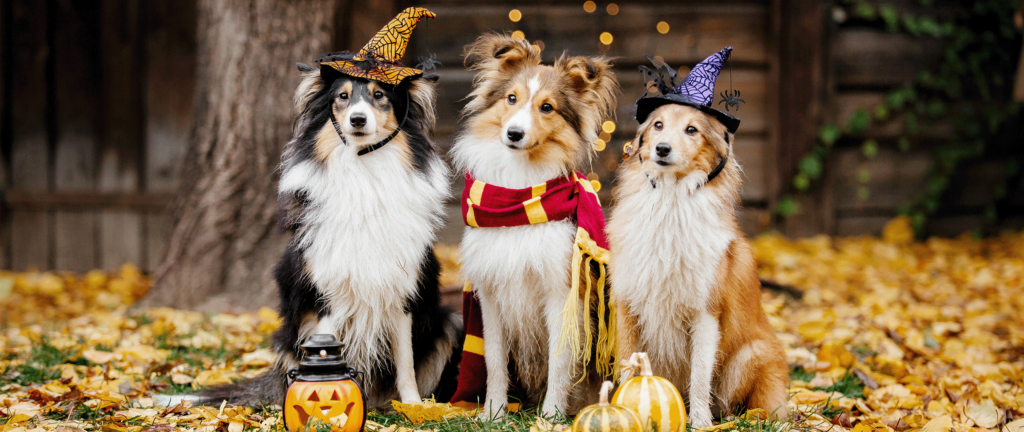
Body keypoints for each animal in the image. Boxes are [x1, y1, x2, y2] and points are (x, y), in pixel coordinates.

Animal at [202, 63, 460, 407]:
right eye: (342, 97)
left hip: (449, 324)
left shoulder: (402, 293)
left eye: (380, 95)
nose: (357, 119)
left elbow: (405, 362)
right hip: (285, 337)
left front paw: (415, 409)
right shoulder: (324, 294)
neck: (364, 175)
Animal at [452, 34, 618, 417]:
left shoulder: (561, 292)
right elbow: (493, 359)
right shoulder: (490, 296)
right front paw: (494, 412)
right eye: (511, 98)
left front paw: (552, 415)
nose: (514, 134)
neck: (518, 197)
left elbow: (560, 359)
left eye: (547, 107)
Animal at [606, 102, 790, 427]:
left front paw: (700, 422)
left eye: (692, 129)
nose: (662, 149)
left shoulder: (705, 314)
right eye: (657, 124)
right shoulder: (628, 305)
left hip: (750, 355)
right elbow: (628, 365)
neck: (669, 202)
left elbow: (700, 375)